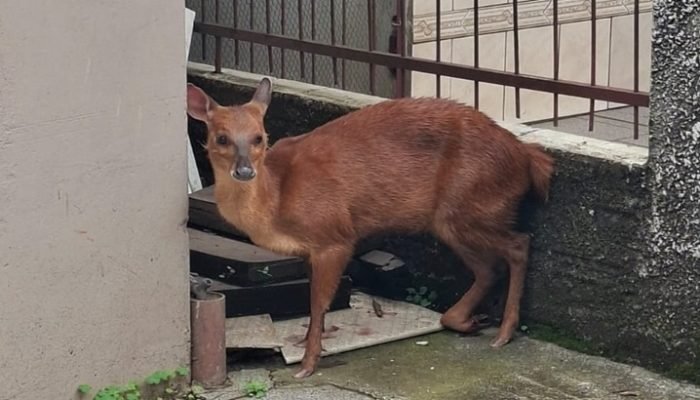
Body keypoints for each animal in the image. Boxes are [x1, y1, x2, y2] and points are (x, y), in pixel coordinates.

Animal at [186, 77, 554, 379]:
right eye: (221, 138)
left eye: (259, 137)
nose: (245, 171)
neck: (277, 200)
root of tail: (528, 157)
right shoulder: (308, 249)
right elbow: (312, 301)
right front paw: (306, 345)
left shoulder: (334, 235)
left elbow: (318, 303)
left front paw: (308, 364)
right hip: (451, 218)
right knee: (489, 267)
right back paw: (469, 321)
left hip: (471, 202)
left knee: (518, 245)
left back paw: (504, 333)